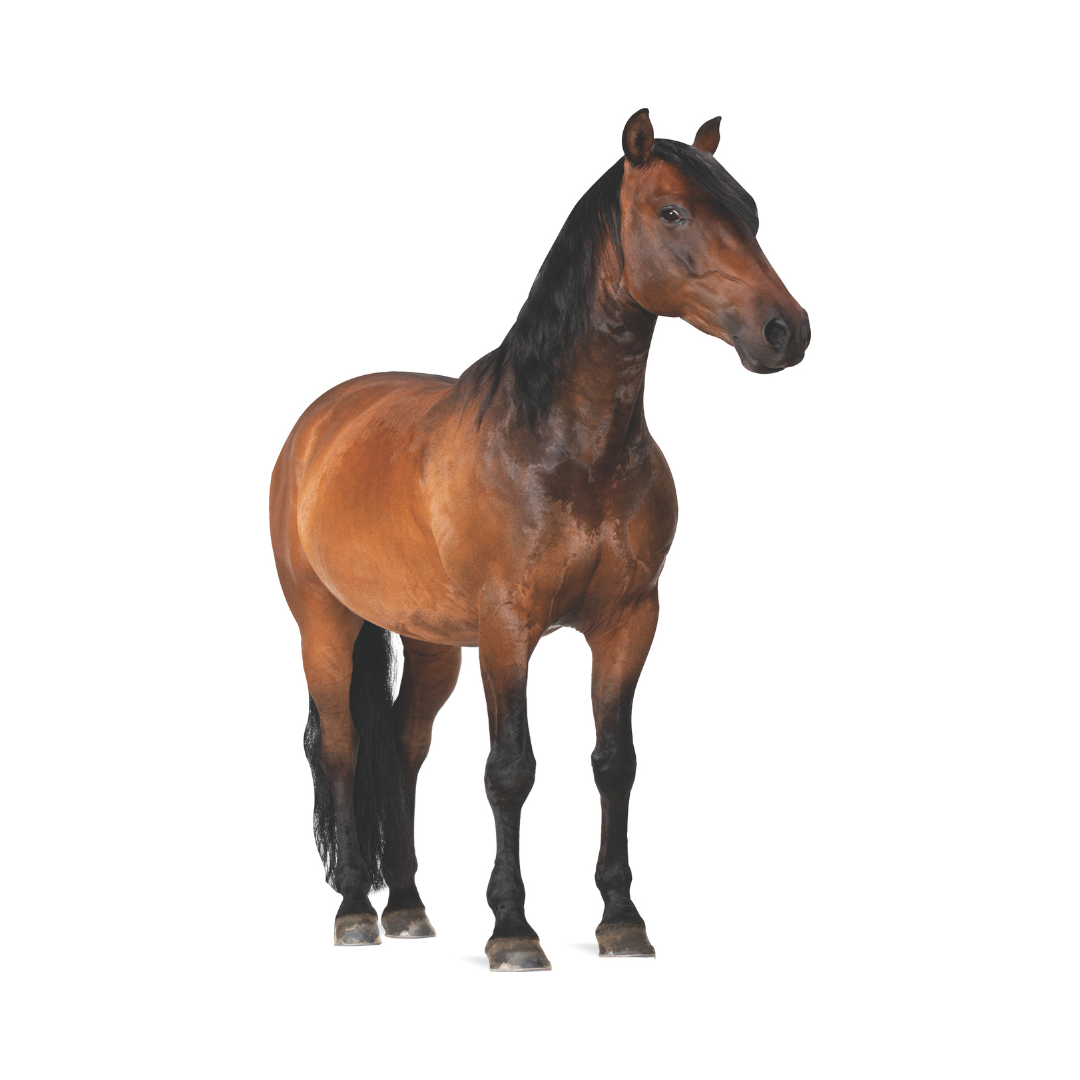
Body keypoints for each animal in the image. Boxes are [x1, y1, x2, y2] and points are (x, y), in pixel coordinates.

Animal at [270, 108, 809, 971]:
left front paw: (622, 919)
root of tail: (319, 424)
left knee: (406, 747)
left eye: (751, 214)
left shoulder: (629, 622)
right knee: (346, 749)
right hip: (325, 623)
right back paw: (356, 908)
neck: (562, 448)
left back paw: (409, 905)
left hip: (430, 644)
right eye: (672, 212)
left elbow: (615, 763)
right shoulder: (506, 629)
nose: (785, 331)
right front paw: (513, 930)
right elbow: (510, 770)